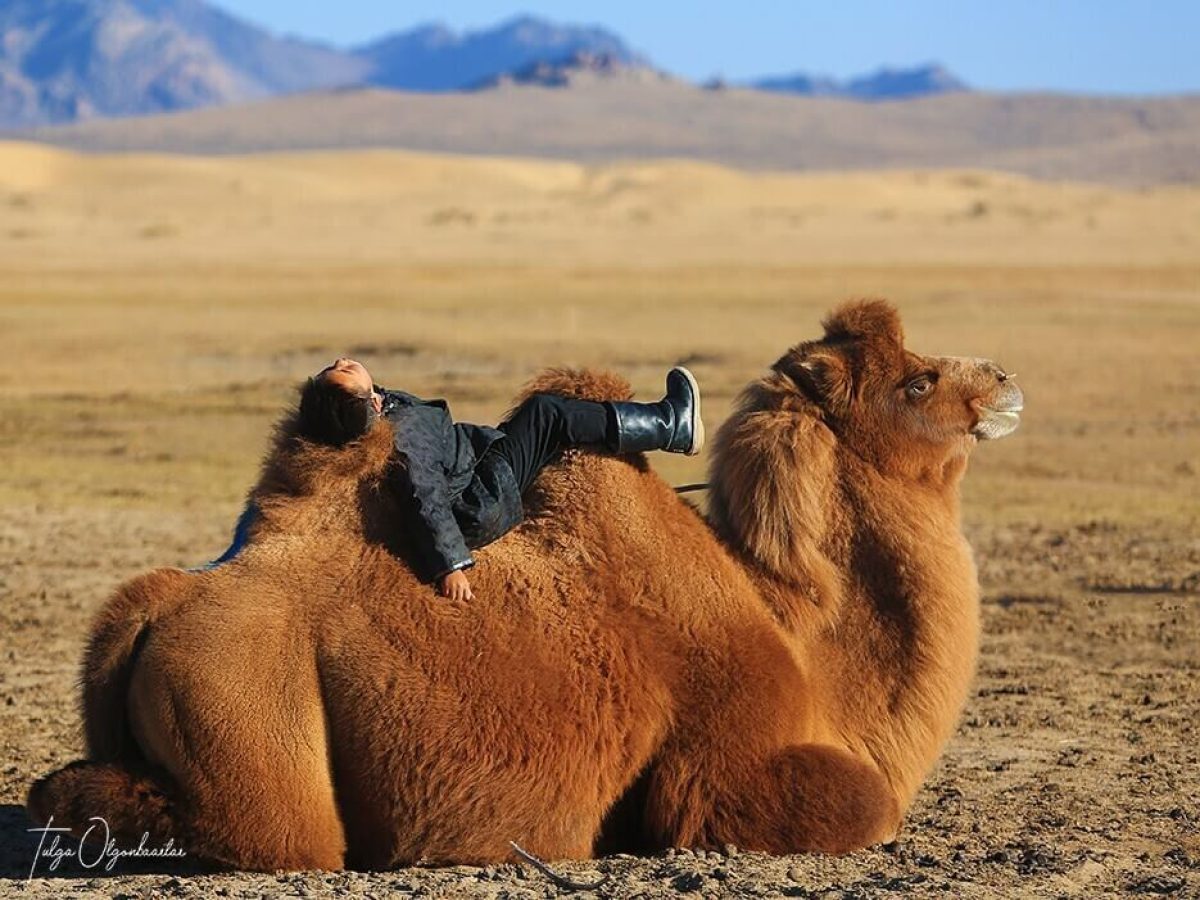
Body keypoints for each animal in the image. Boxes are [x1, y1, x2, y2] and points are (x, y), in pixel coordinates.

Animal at [28, 300, 1022, 868]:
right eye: (918, 380)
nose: (1004, 379)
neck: (800, 639)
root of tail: (157, 603)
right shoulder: (716, 772)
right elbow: (867, 804)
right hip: (252, 713)